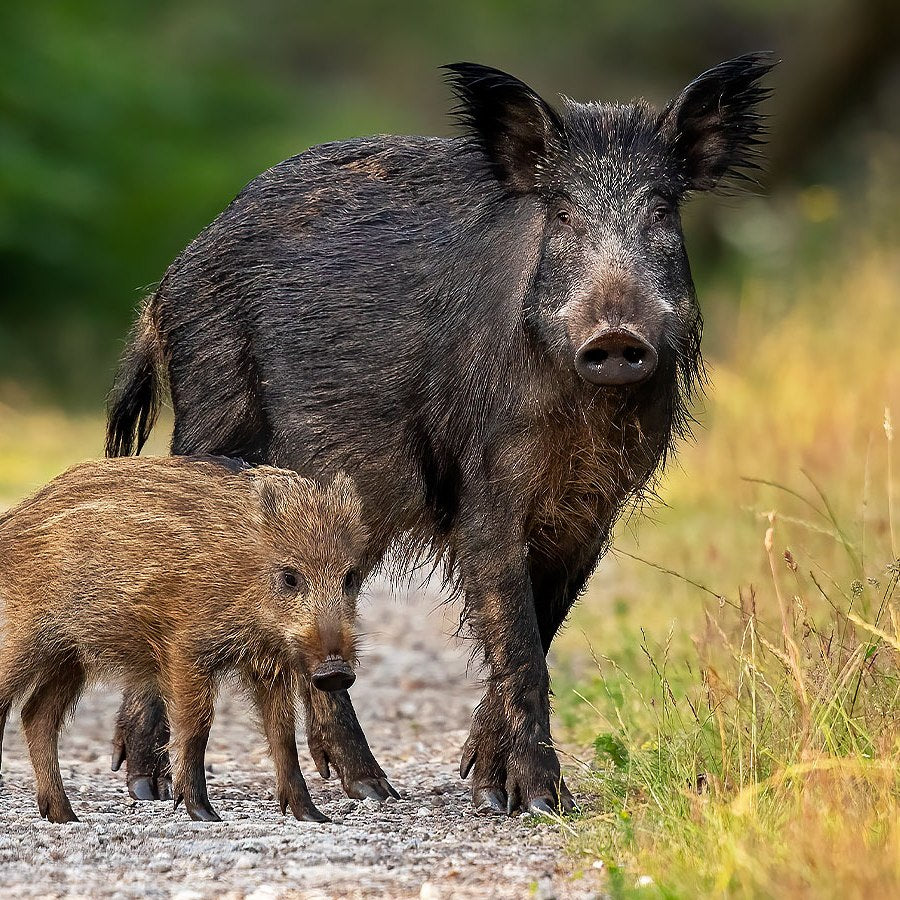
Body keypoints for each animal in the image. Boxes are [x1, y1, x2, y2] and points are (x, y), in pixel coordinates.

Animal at [0, 455, 367, 823]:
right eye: (290, 577)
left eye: (350, 577)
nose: (336, 671)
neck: (246, 574)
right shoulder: (185, 648)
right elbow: (197, 726)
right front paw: (204, 814)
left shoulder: (268, 664)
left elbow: (283, 734)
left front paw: (314, 816)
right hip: (25, 638)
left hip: (68, 656)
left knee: (36, 716)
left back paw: (65, 816)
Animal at [106, 55, 774, 814]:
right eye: (563, 212)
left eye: (661, 209)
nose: (615, 337)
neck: (582, 415)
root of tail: (167, 283)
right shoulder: (485, 483)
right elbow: (518, 642)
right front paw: (540, 803)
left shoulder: (593, 509)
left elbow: (542, 628)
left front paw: (487, 786)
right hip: (216, 416)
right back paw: (157, 784)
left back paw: (366, 788)